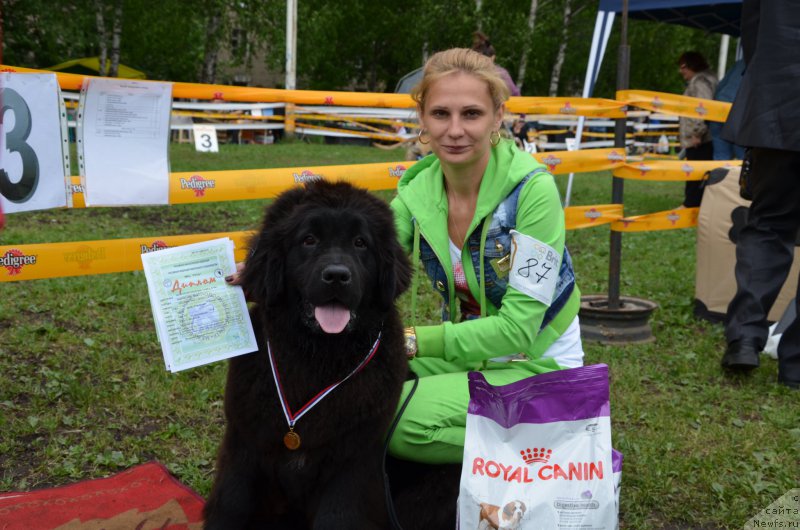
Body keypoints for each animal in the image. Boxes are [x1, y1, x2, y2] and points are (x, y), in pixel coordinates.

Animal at [200, 179, 416, 524]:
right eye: (309, 240)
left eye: (360, 243)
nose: (337, 275)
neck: (318, 357)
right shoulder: (244, 445)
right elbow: (231, 506)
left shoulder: (354, 461)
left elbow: (338, 516)